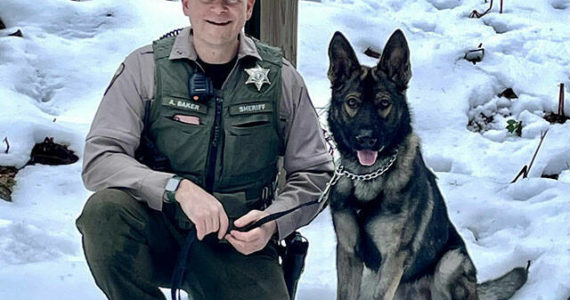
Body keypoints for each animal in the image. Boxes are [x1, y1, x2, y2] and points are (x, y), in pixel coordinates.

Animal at [326, 30, 524, 300]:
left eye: (384, 104)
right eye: (353, 102)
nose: (366, 138)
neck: (367, 178)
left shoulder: (393, 259)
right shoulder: (347, 252)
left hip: (449, 263)